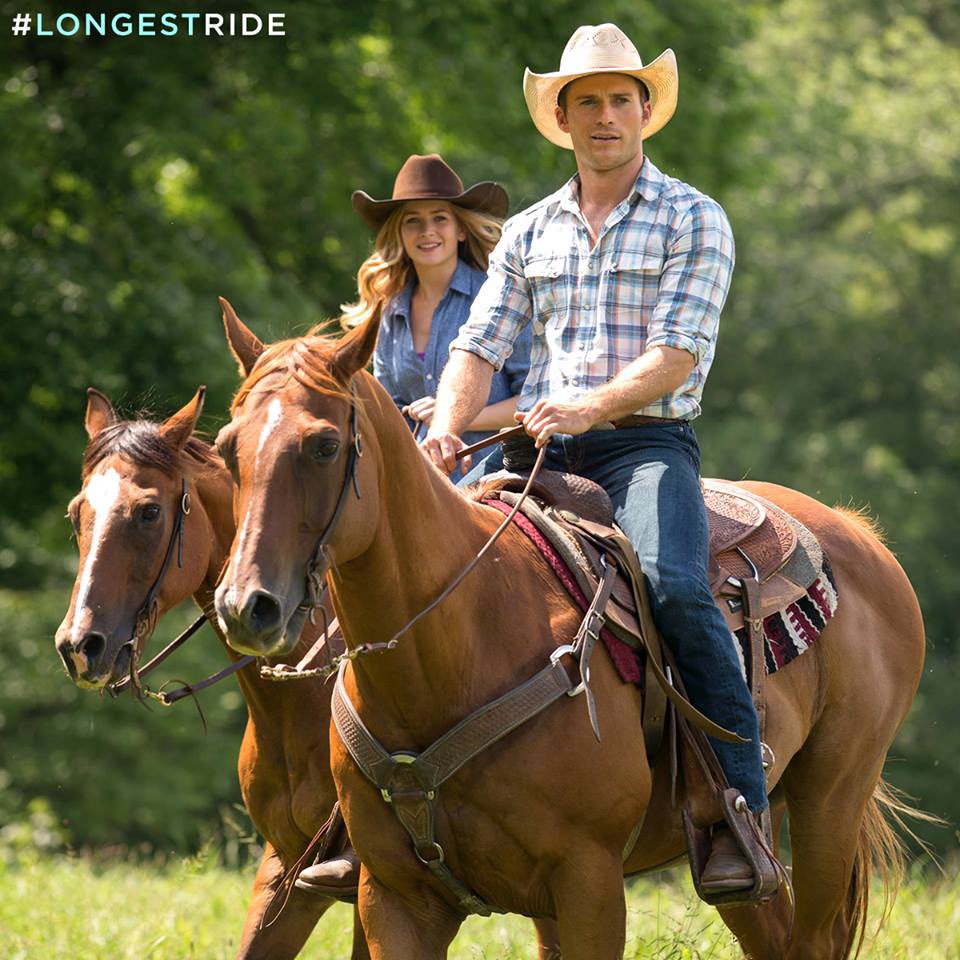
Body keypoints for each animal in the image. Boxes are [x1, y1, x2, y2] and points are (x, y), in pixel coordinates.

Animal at [216, 306, 924, 960]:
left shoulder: (589, 883)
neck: (457, 646)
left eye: (324, 445)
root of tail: (858, 532)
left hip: (831, 800)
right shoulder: (394, 898)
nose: (246, 605)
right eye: (227, 446)